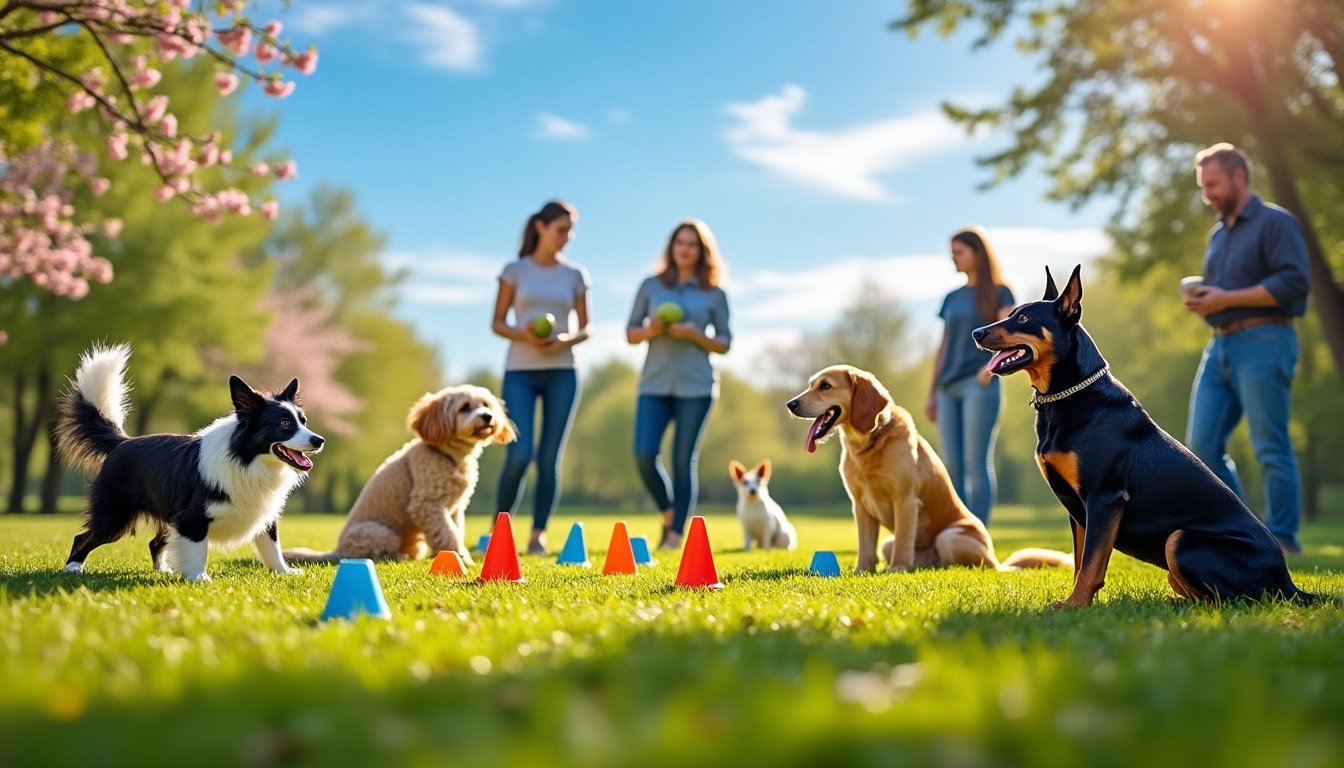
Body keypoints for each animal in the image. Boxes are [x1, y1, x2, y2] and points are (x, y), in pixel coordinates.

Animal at [283, 384, 513, 564]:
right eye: (464, 408)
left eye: (485, 404)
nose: (487, 416)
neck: (450, 456)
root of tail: (337, 551)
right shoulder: (427, 505)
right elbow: (447, 533)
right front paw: (460, 557)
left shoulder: (455, 508)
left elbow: (454, 530)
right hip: (381, 533)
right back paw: (396, 557)